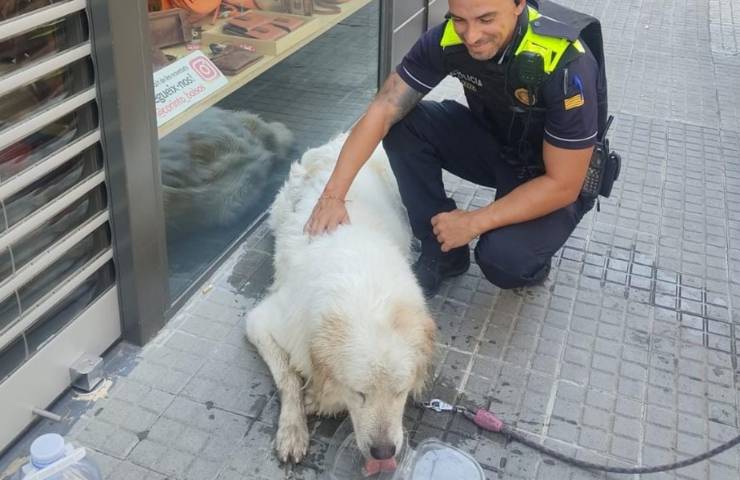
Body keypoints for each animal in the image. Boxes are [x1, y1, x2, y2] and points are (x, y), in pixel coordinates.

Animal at [246, 137, 436, 466]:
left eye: (400, 392)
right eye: (360, 393)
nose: (384, 453)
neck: (366, 284)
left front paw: (318, 400)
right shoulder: (264, 321)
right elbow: (288, 377)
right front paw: (293, 428)